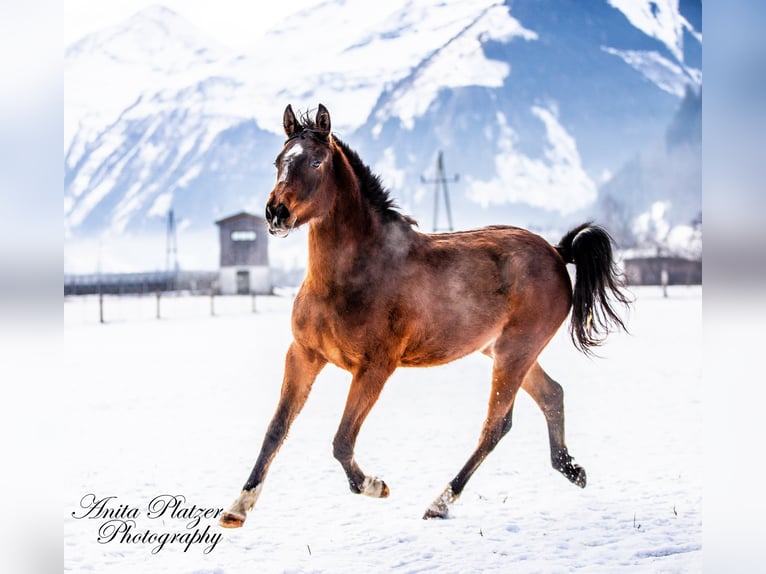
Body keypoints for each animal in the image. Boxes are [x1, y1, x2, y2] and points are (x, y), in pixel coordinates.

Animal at [220, 104, 632, 532]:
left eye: (316, 161)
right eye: (278, 161)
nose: (276, 213)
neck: (352, 274)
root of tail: (557, 252)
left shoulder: (375, 368)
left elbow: (342, 441)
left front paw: (374, 485)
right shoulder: (303, 354)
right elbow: (276, 430)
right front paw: (238, 507)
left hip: (515, 352)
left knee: (496, 425)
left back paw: (440, 502)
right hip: (503, 350)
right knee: (552, 395)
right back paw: (572, 469)